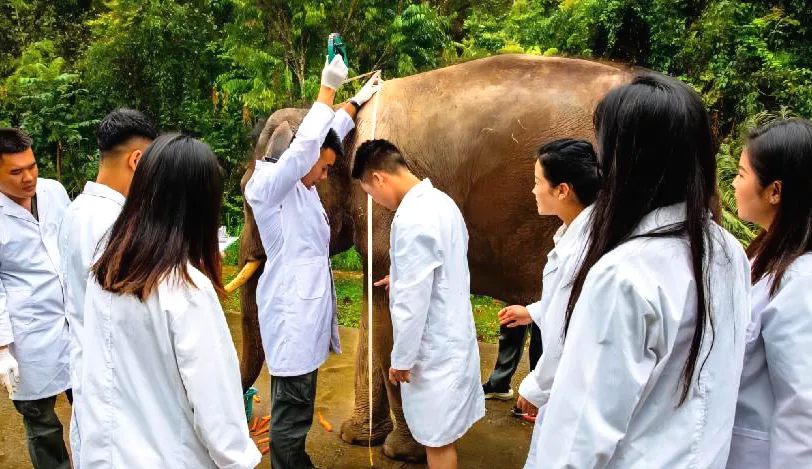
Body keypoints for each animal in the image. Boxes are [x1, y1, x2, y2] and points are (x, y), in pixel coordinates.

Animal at [227, 54, 631, 462]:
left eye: (246, 194)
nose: (249, 410)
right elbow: (374, 309)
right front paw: (359, 438)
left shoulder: (385, 216)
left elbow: (393, 317)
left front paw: (403, 452)